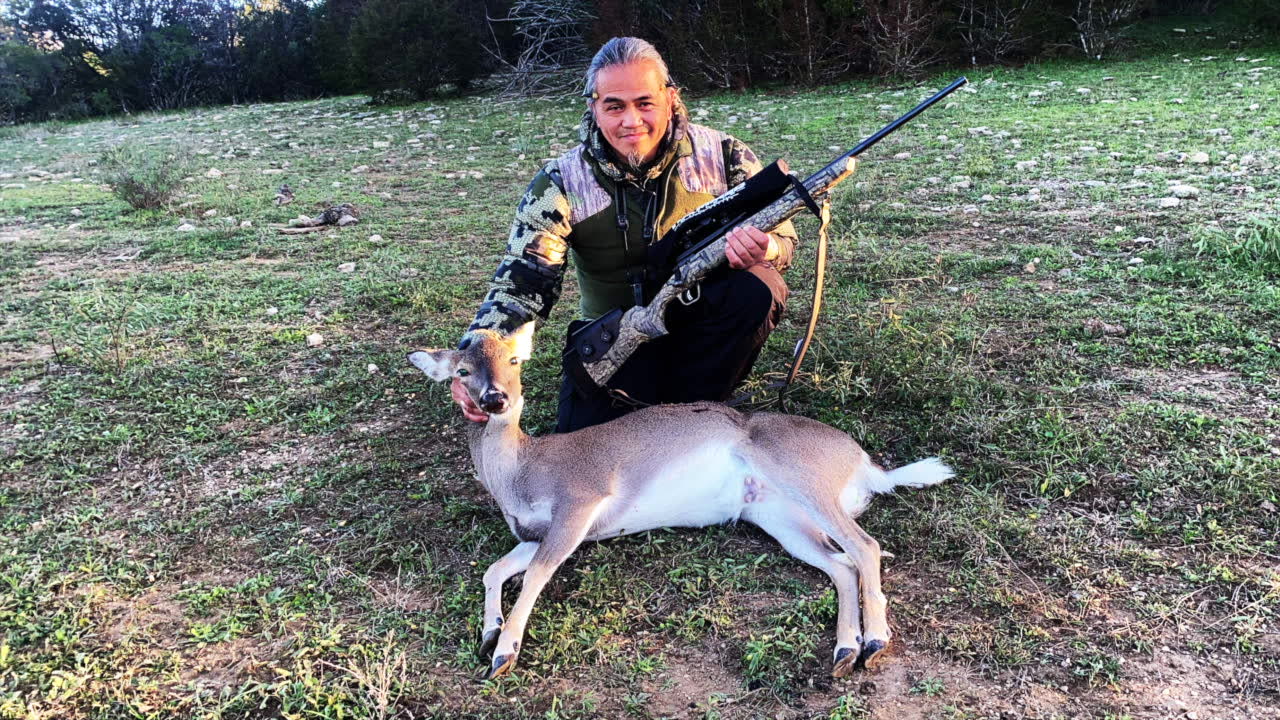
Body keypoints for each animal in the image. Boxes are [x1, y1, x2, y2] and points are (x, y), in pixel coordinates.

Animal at [407, 322, 953, 679]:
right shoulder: (536, 532)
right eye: (462, 371)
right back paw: (844, 651)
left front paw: (505, 653)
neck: (522, 472)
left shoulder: (581, 502)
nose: (496, 399)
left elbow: (536, 575)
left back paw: (875, 643)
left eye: (515, 360)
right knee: (842, 564)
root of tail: (865, 463)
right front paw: (489, 632)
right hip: (779, 517)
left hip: (800, 475)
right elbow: (494, 569)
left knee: (865, 546)